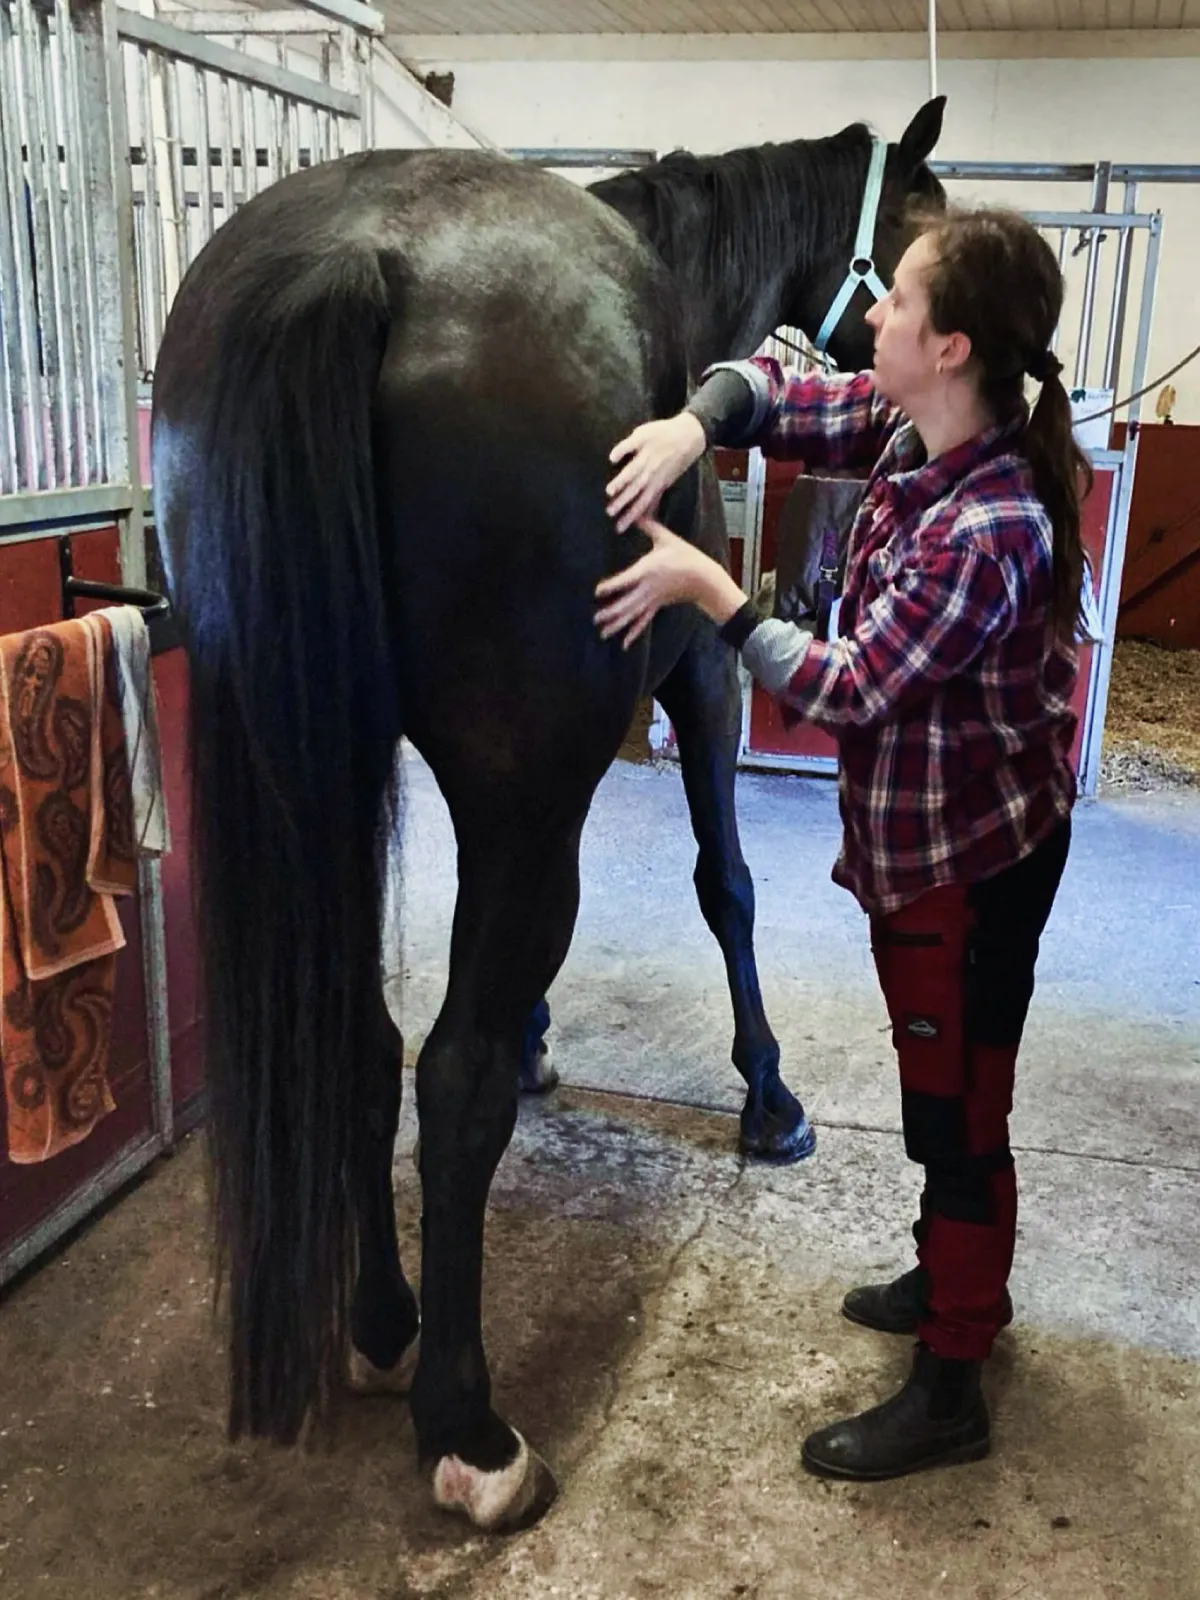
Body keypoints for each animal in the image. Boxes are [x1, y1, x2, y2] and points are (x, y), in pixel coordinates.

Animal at [151, 97, 946, 1532]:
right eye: (923, 224)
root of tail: (356, 263)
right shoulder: (698, 682)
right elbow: (727, 888)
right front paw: (771, 1099)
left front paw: (540, 1036)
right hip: (531, 795)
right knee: (448, 1077)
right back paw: (471, 1432)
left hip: (330, 776)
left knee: (365, 1039)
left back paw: (382, 1318)